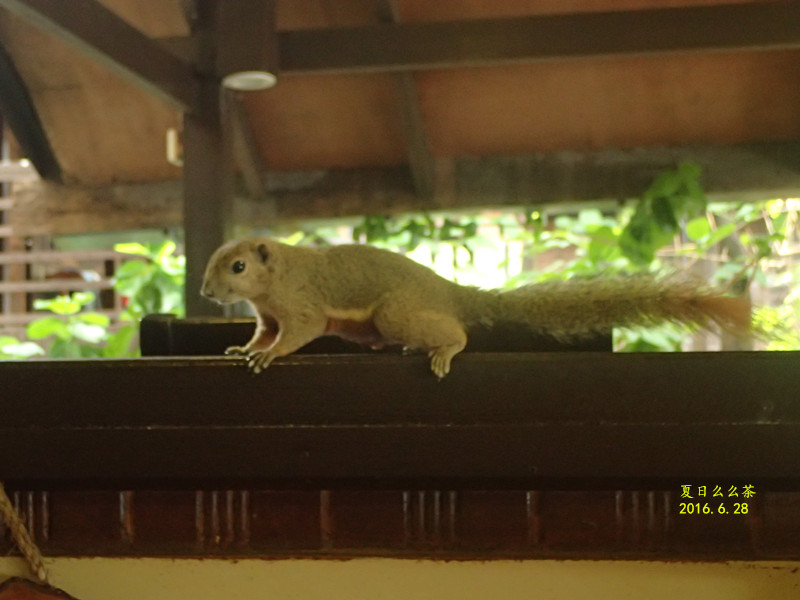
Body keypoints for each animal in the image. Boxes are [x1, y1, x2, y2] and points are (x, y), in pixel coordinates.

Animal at [200, 237, 752, 378]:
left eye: (238, 267)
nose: (205, 293)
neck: (275, 279)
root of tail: (449, 292)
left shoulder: (301, 307)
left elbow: (298, 333)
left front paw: (270, 356)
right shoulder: (267, 314)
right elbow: (260, 333)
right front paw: (241, 349)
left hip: (398, 312)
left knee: (456, 333)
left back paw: (445, 350)